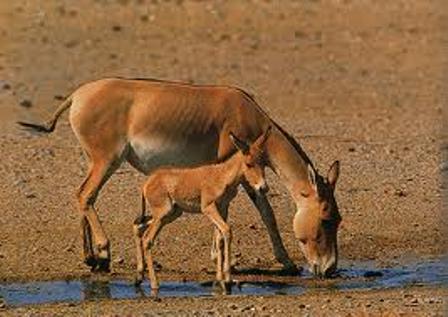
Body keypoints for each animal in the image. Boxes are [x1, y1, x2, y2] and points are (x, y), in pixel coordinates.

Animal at [133, 127, 272, 290]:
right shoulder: (208, 207)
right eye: (249, 164)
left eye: (263, 163)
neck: (223, 176)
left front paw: (219, 279)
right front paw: (227, 279)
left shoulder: (223, 207)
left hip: (172, 213)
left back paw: (139, 277)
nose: (263, 188)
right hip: (163, 214)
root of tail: (146, 183)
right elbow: (227, 231)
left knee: (138, 226)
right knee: (148, 239)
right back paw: (154, 284)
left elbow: (219, 238)